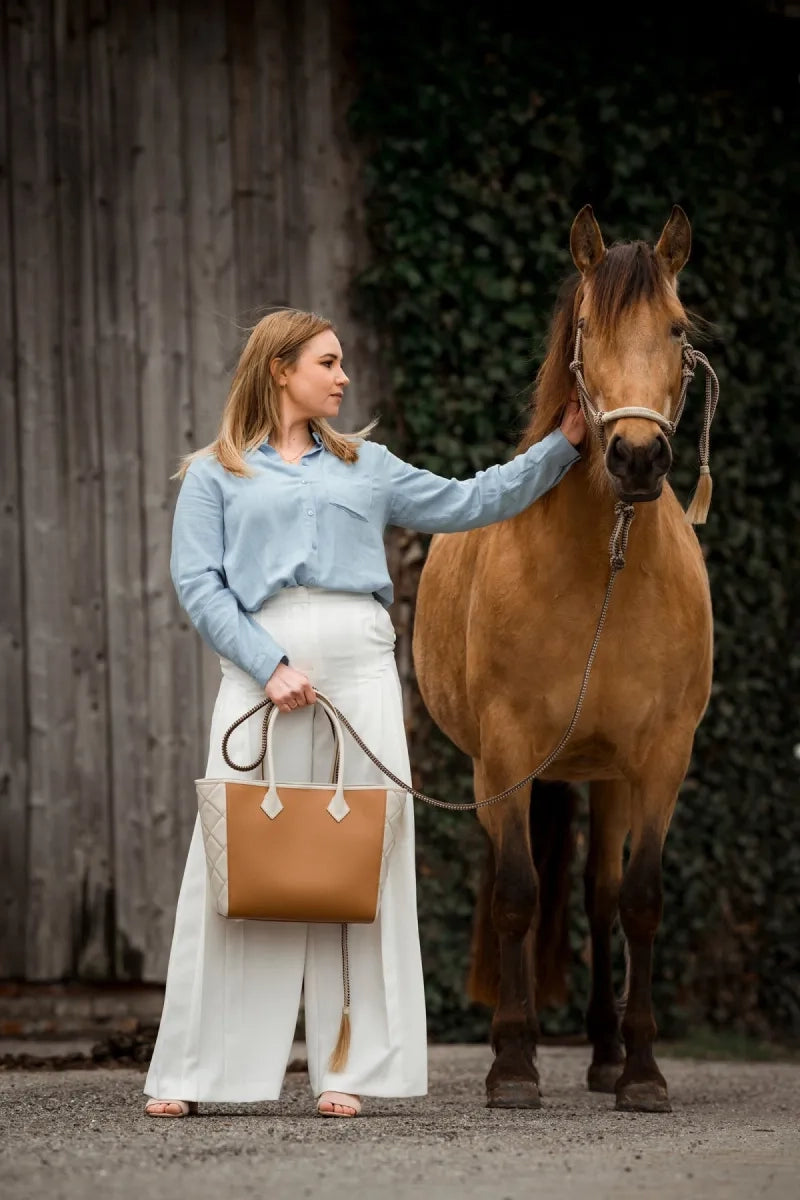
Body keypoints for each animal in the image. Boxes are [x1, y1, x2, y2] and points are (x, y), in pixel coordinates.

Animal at [412, 208, 714, 1113]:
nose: (638, 459)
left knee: (598, 896)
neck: (600, 571)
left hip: (604, 776)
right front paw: (513, 1064)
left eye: (677, 329)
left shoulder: (661, 759)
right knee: (518, 883)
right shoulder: (507, 751)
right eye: (589, 327)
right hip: (502, 772)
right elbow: (517, 894)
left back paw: (607, 1052)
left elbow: (638, 902)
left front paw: (642, 1072)